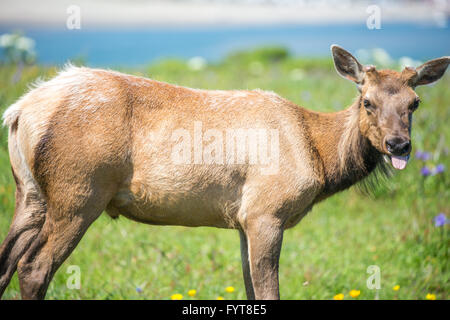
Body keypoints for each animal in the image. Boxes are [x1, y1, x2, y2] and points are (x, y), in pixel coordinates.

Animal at [0, 45, 450, 300]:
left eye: (414, 104)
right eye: (367, 102)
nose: (399, 145)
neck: (319, 158)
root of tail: (20, 110)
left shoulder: (243, 220)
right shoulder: (267, 210)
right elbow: (268, 292)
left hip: (31, 193)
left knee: (6, 261)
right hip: (79, 191)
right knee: (34, 267)